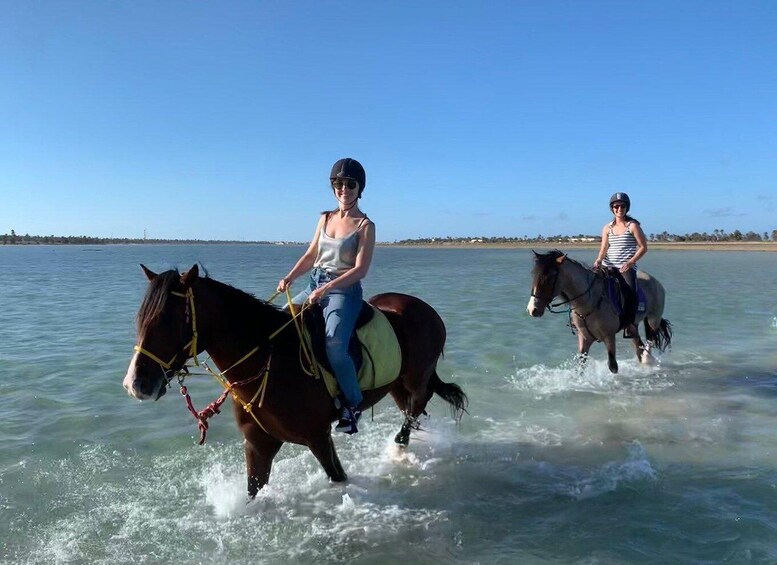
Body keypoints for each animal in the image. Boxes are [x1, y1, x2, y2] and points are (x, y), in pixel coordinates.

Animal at [121, 262, 466, 496]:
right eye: (141, 318)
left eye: (168, 320)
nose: (136, 384)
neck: (270, 359)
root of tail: (424, 309)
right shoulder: (259, 444)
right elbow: (253, 490)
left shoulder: (318, 438)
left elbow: (338, 477)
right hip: (395, 384)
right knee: (412, 408)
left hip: (416, 377)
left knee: (417, 404)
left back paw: (398, 447)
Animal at [528, 249, 672, 372]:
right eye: (533, 275)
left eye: (549, 278)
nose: (532, 309)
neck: (589, 301)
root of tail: (655, 281)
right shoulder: (584, 338)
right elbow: (581, 365)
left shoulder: (609, 337)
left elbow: (613, 367)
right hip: (632, 326)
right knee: (639, 347)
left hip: (653, 319)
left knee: (649, 342)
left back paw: (648, 361)